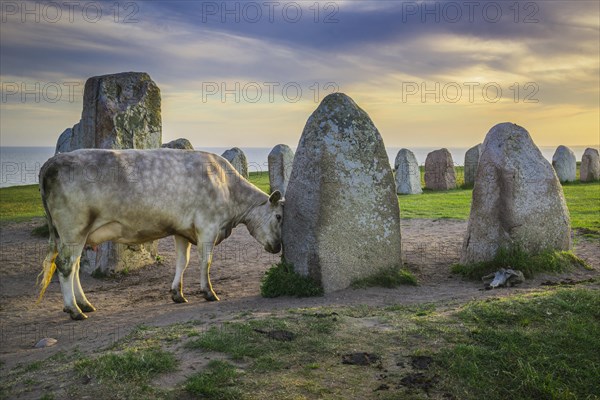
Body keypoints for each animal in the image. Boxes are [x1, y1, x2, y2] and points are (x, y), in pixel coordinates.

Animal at [37, 148, 284, 320]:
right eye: (279, 216)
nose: (278, 246)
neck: (226, 187)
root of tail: (52, 161)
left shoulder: (182, 230)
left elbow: (182, 262)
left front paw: (177, 294)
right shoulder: (208, 226)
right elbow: (206, 261)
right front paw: (208, 292)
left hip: (73, 234)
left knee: (75, 266)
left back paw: (85, 304)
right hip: (74, 229)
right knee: (66, 266)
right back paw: (74, 310)